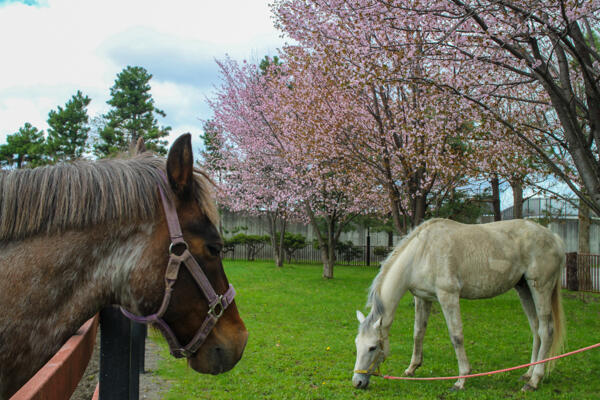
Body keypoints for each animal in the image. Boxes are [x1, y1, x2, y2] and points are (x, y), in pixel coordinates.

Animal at [354, 219, 564, 390]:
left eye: (373, 347)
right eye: (357, 344)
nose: (357, 382)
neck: (422, 252)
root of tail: (554, 238)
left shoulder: (448, 296)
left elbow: (456, 337)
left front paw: (461, 379)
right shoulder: (423, 298)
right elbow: (418, 333)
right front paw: (411, 368)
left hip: (540, 288)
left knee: (546, 330)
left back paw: (534, 380)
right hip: (524, 289)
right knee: (536, 329)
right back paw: (528, 373)